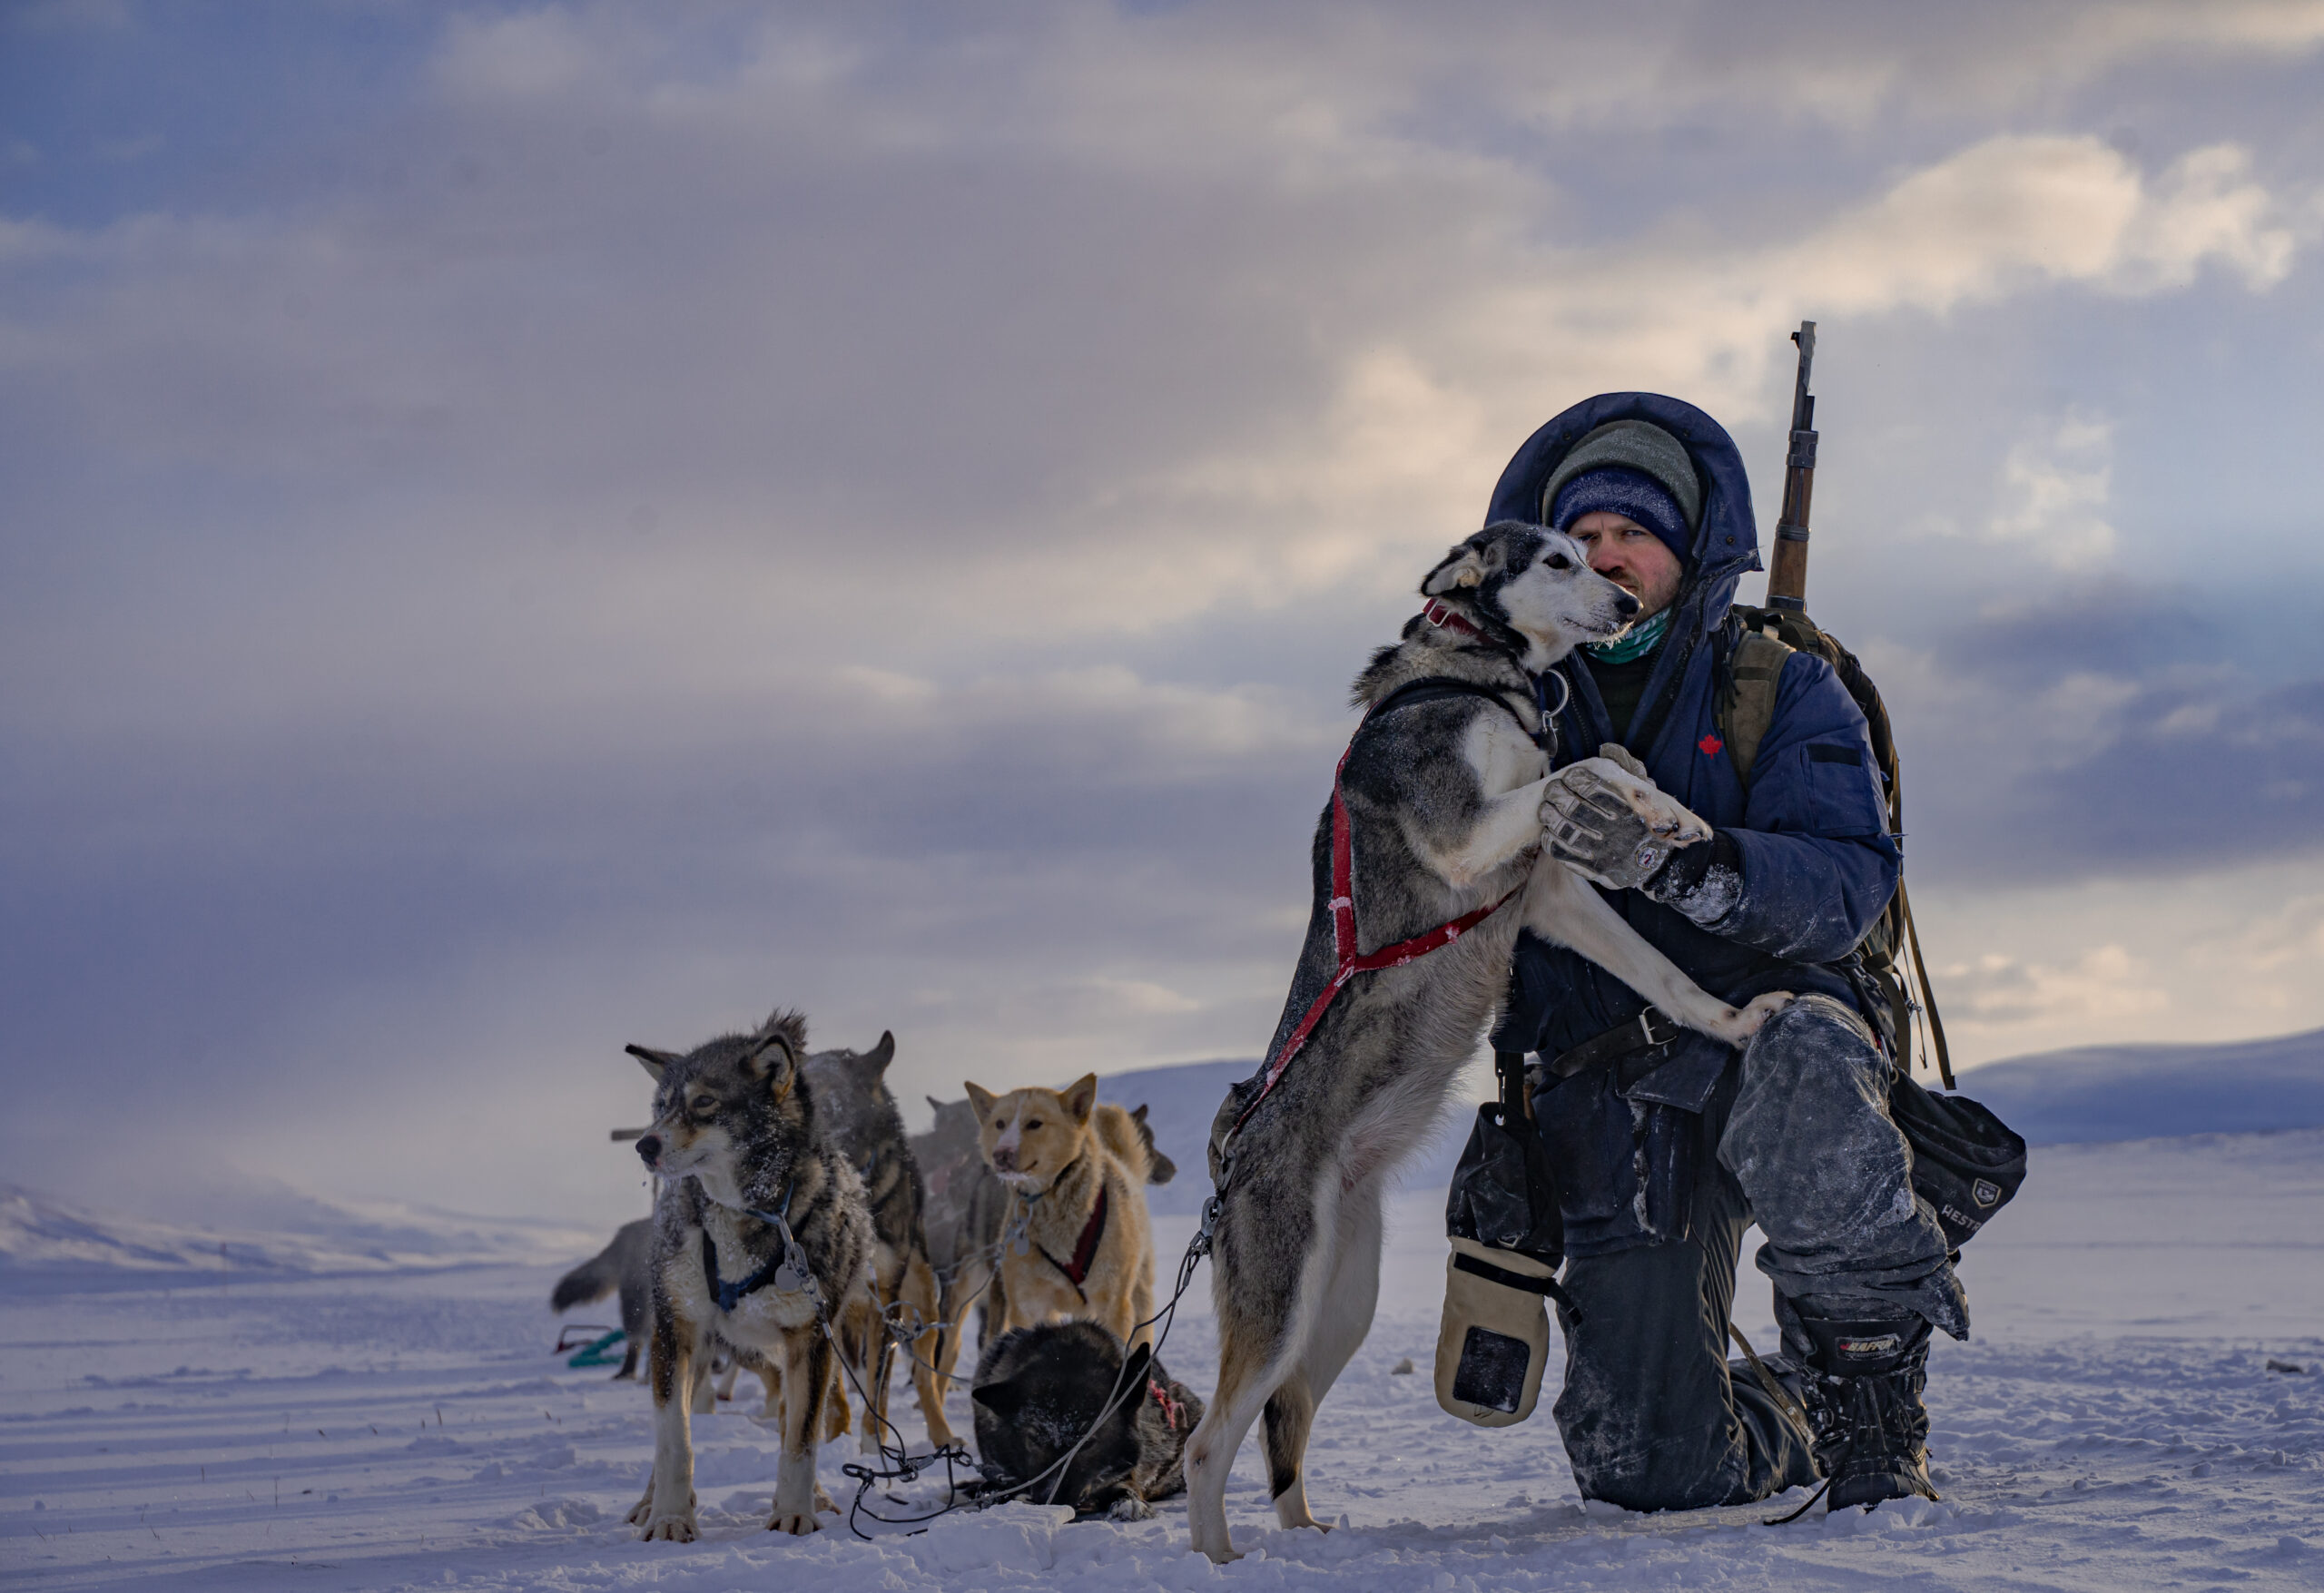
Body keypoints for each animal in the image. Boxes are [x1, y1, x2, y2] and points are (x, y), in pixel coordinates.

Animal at [627, 1012, 873, 1550]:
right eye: (661, 1107)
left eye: (704, 1102)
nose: (644, 1144)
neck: (743, 1211)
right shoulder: (677, 1330)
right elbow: (674, 1441)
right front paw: (670, 1517)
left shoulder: (810, 1340)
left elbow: (801, 1439)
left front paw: (795, 1514)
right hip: (695, 1349)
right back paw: (648, 1503)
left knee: (795, 1421)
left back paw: (814, 1496)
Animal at [957, 1077, 1157, 1356]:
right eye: (1000, 1124)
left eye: (1034, 1123)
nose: (1001, 1154)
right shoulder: (1029, 1304)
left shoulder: (1112, 1303)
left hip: (1137, 1297)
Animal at [971, 1319, 1208, 1523]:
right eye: (1035, 1439)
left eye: (1088, 1444)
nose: (1051, 1500)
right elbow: (991, 1488)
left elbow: (1126, 1486)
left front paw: (1128, 1502)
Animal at [1189, 525, 1785, 1560]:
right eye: (1557, 560)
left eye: (1591, 553)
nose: (1627, 605)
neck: (1476, 676)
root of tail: (1236, 1150)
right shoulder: (1469, 836)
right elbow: (1580, 769)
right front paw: (1657, 804)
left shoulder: (1544, 889)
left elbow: (1656, 948)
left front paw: (1727, 995)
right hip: (1281, 1297)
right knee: (1206, 1442)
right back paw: (1220, 1558)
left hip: (1340, 1305)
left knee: (1286, 1418)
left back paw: (1306, 1534)